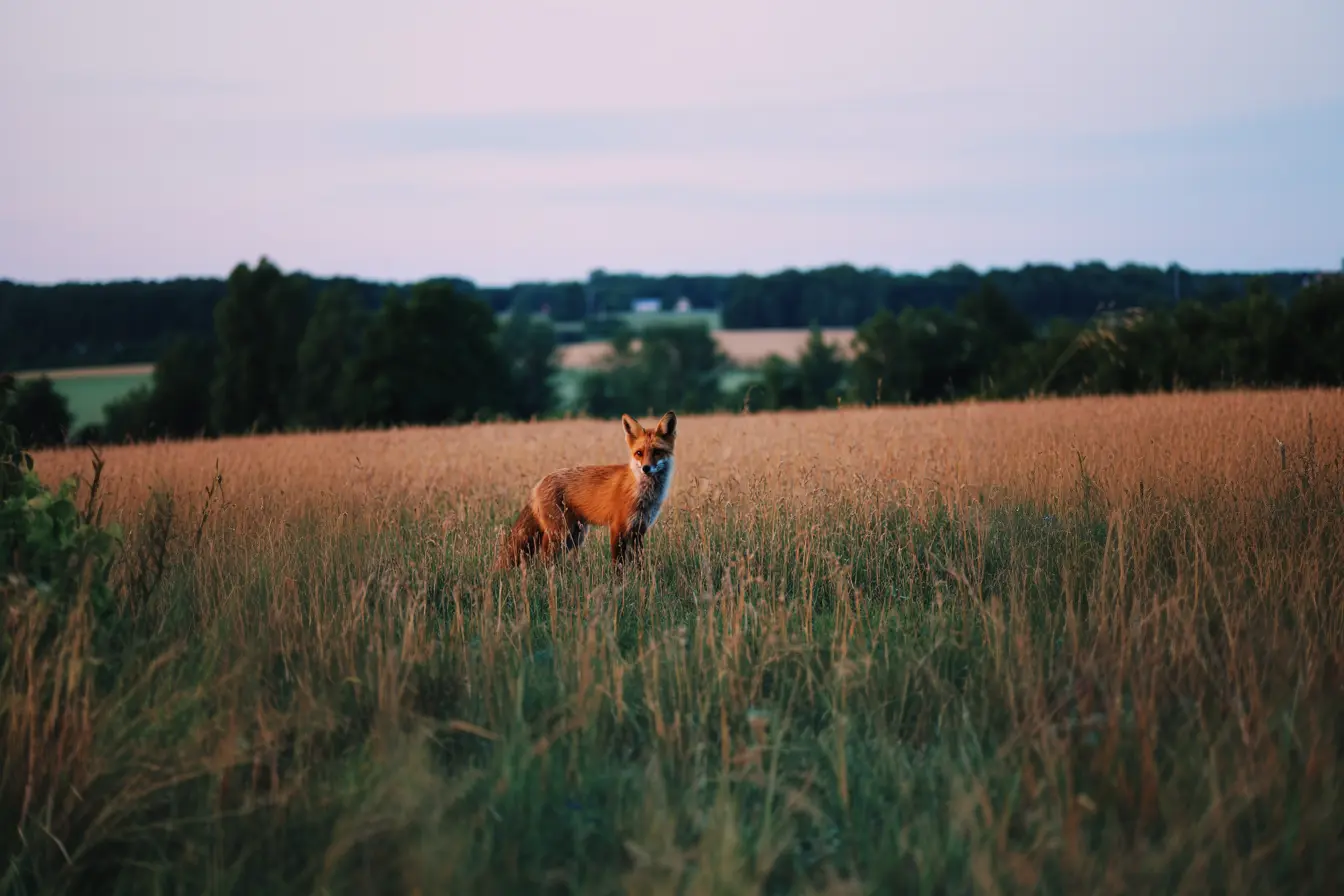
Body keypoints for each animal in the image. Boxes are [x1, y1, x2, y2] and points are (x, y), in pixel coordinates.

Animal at [495, 411, 677, 570]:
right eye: (639, 453)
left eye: (657, 452)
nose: (646, 468)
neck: (644, 493)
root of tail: (538, 484)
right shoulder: (617, 527)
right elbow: (618, 564)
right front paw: (619, 584)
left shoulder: (638, 530)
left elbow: (639, 562)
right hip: (560, 533)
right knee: (544, 559)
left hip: (574, 536)